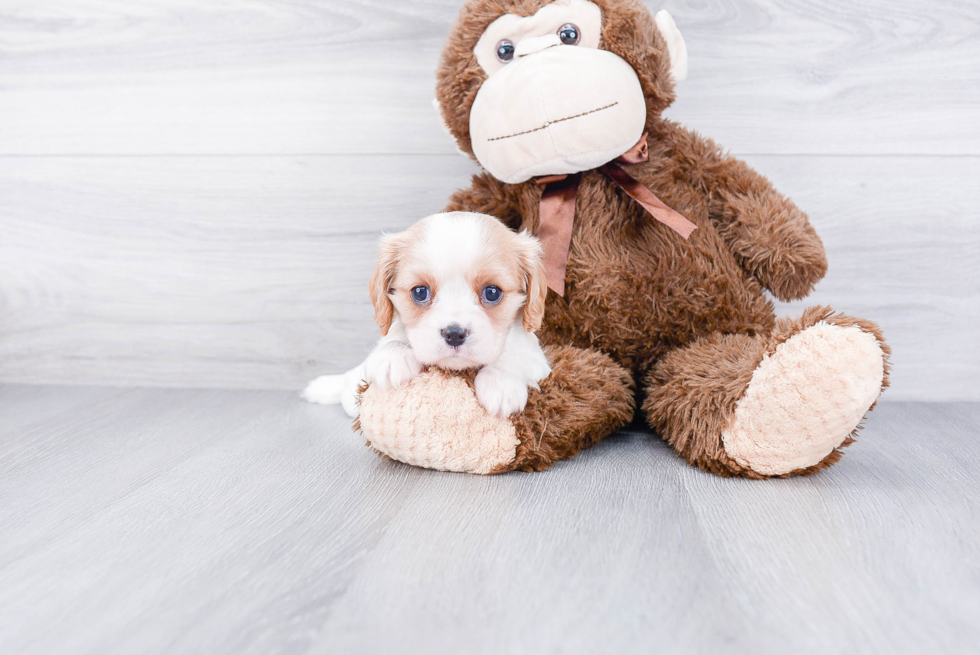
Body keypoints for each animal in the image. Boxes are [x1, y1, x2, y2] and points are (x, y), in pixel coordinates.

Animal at [302, 213, 552, 418]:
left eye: (492, 292)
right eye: (420, 292)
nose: (454, 334)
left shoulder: (539, 361)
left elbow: (515, 356)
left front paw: (500, 382)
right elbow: (392, 336)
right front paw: (392, 356)